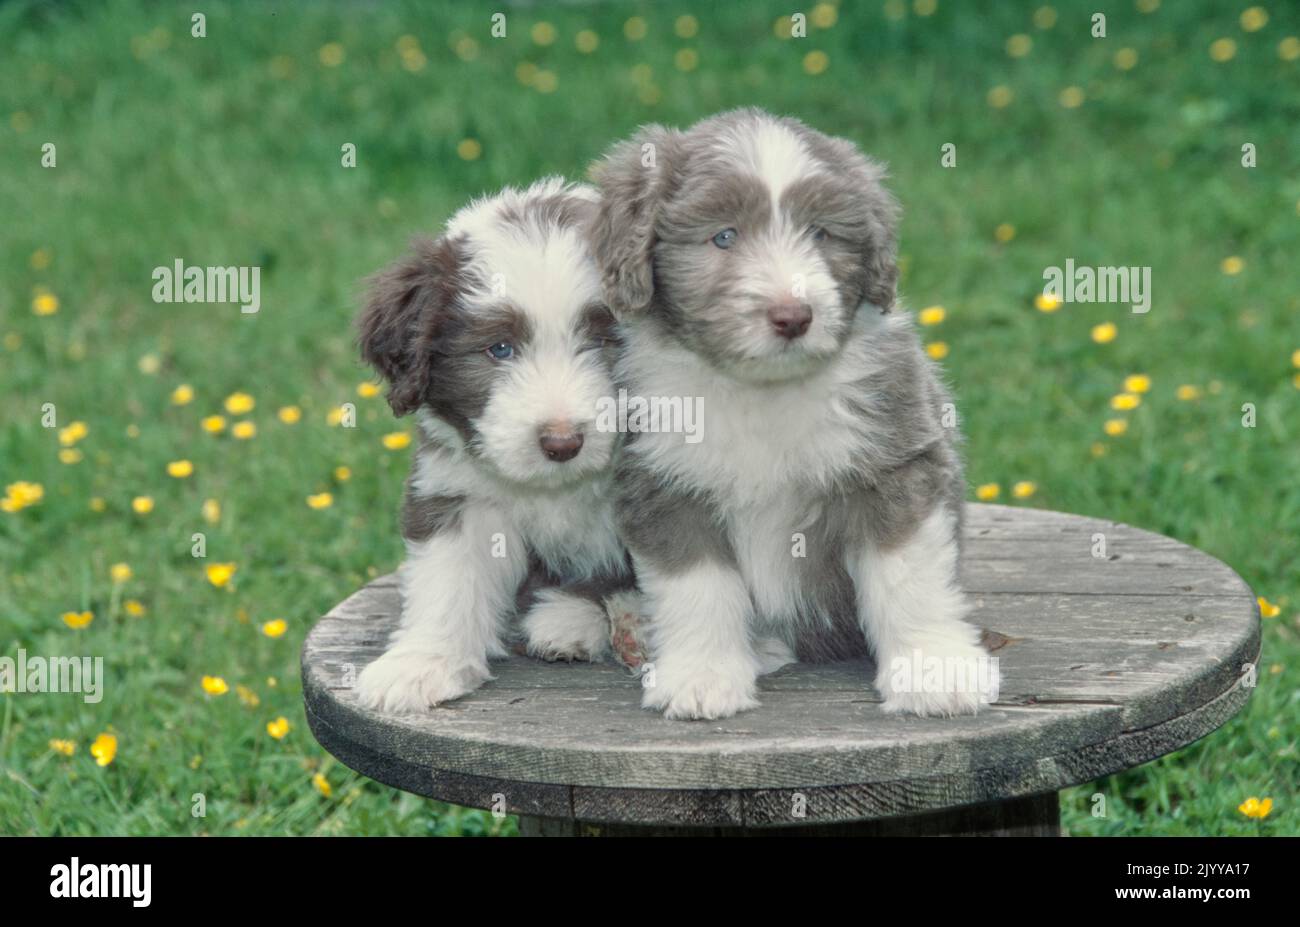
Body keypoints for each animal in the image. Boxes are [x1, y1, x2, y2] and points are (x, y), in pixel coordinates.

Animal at [356, 176, 634, 712]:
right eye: (499, 349)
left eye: (606, 342)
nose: (563, 443)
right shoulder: (458, 491)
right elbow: (447, 579)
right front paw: (421, 666)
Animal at [590, 111, 993, 722]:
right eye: (724, 236)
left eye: (821, 233)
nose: (793, 315)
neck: (763, 391)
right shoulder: (664, 482)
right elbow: (696, 586)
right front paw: (701, 678)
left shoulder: (895, 462)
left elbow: (908, 574)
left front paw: (934, 671)